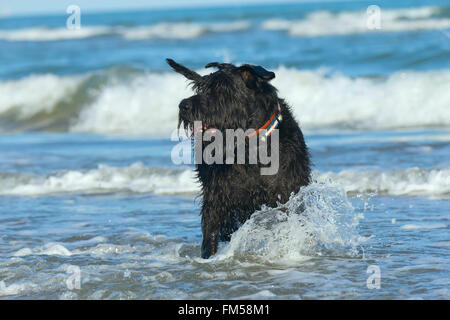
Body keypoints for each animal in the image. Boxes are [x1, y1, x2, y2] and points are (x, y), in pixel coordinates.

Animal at [167, 58, 312, 258]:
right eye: (201, 88)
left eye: (222, 90)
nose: (183, 105)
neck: (250, 147)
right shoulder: (217, 197)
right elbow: (211, 229)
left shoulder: (286, 192)